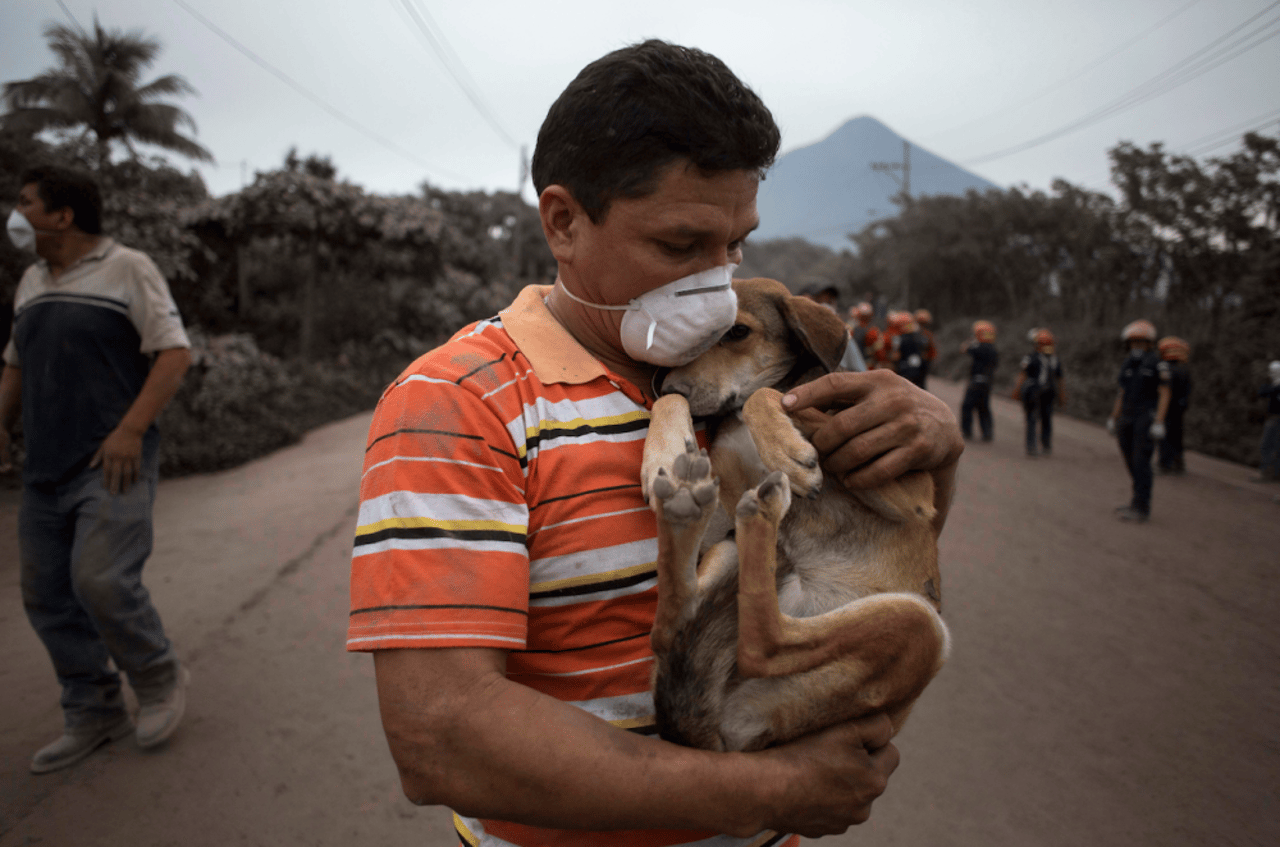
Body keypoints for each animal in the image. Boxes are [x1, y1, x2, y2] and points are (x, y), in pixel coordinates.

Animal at [645, 278, 947, 757]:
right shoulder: (726, 504)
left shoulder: (909, 494)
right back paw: (693, 508)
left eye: (737, 332)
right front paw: (664, 447)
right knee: (683, 626)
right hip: (729, 552)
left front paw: (786, 448)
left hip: (920, 626)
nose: (665, 385)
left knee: (764, 644)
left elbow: (773, 396)